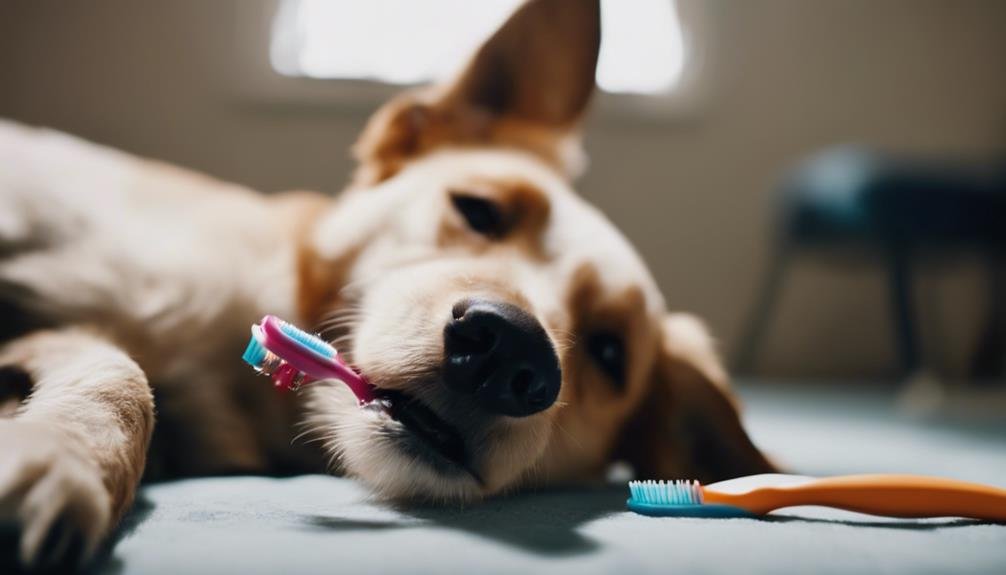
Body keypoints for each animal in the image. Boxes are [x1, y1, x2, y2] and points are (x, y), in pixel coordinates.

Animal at [0, 0, 768, 566]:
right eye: (479, 210)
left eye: (610, 353)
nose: (507, 352)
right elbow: (123, 374)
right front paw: (56, 456)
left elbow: (121, 374)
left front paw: (53, 458)